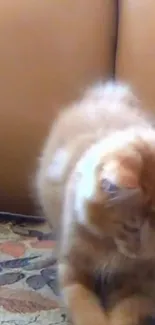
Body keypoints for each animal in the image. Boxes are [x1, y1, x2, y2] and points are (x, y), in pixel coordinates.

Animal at [36, 81, 155, 325]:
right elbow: (86, 309)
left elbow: (125, 312)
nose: (141, 253)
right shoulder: (73, 273)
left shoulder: (141, 287)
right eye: (131, 227)